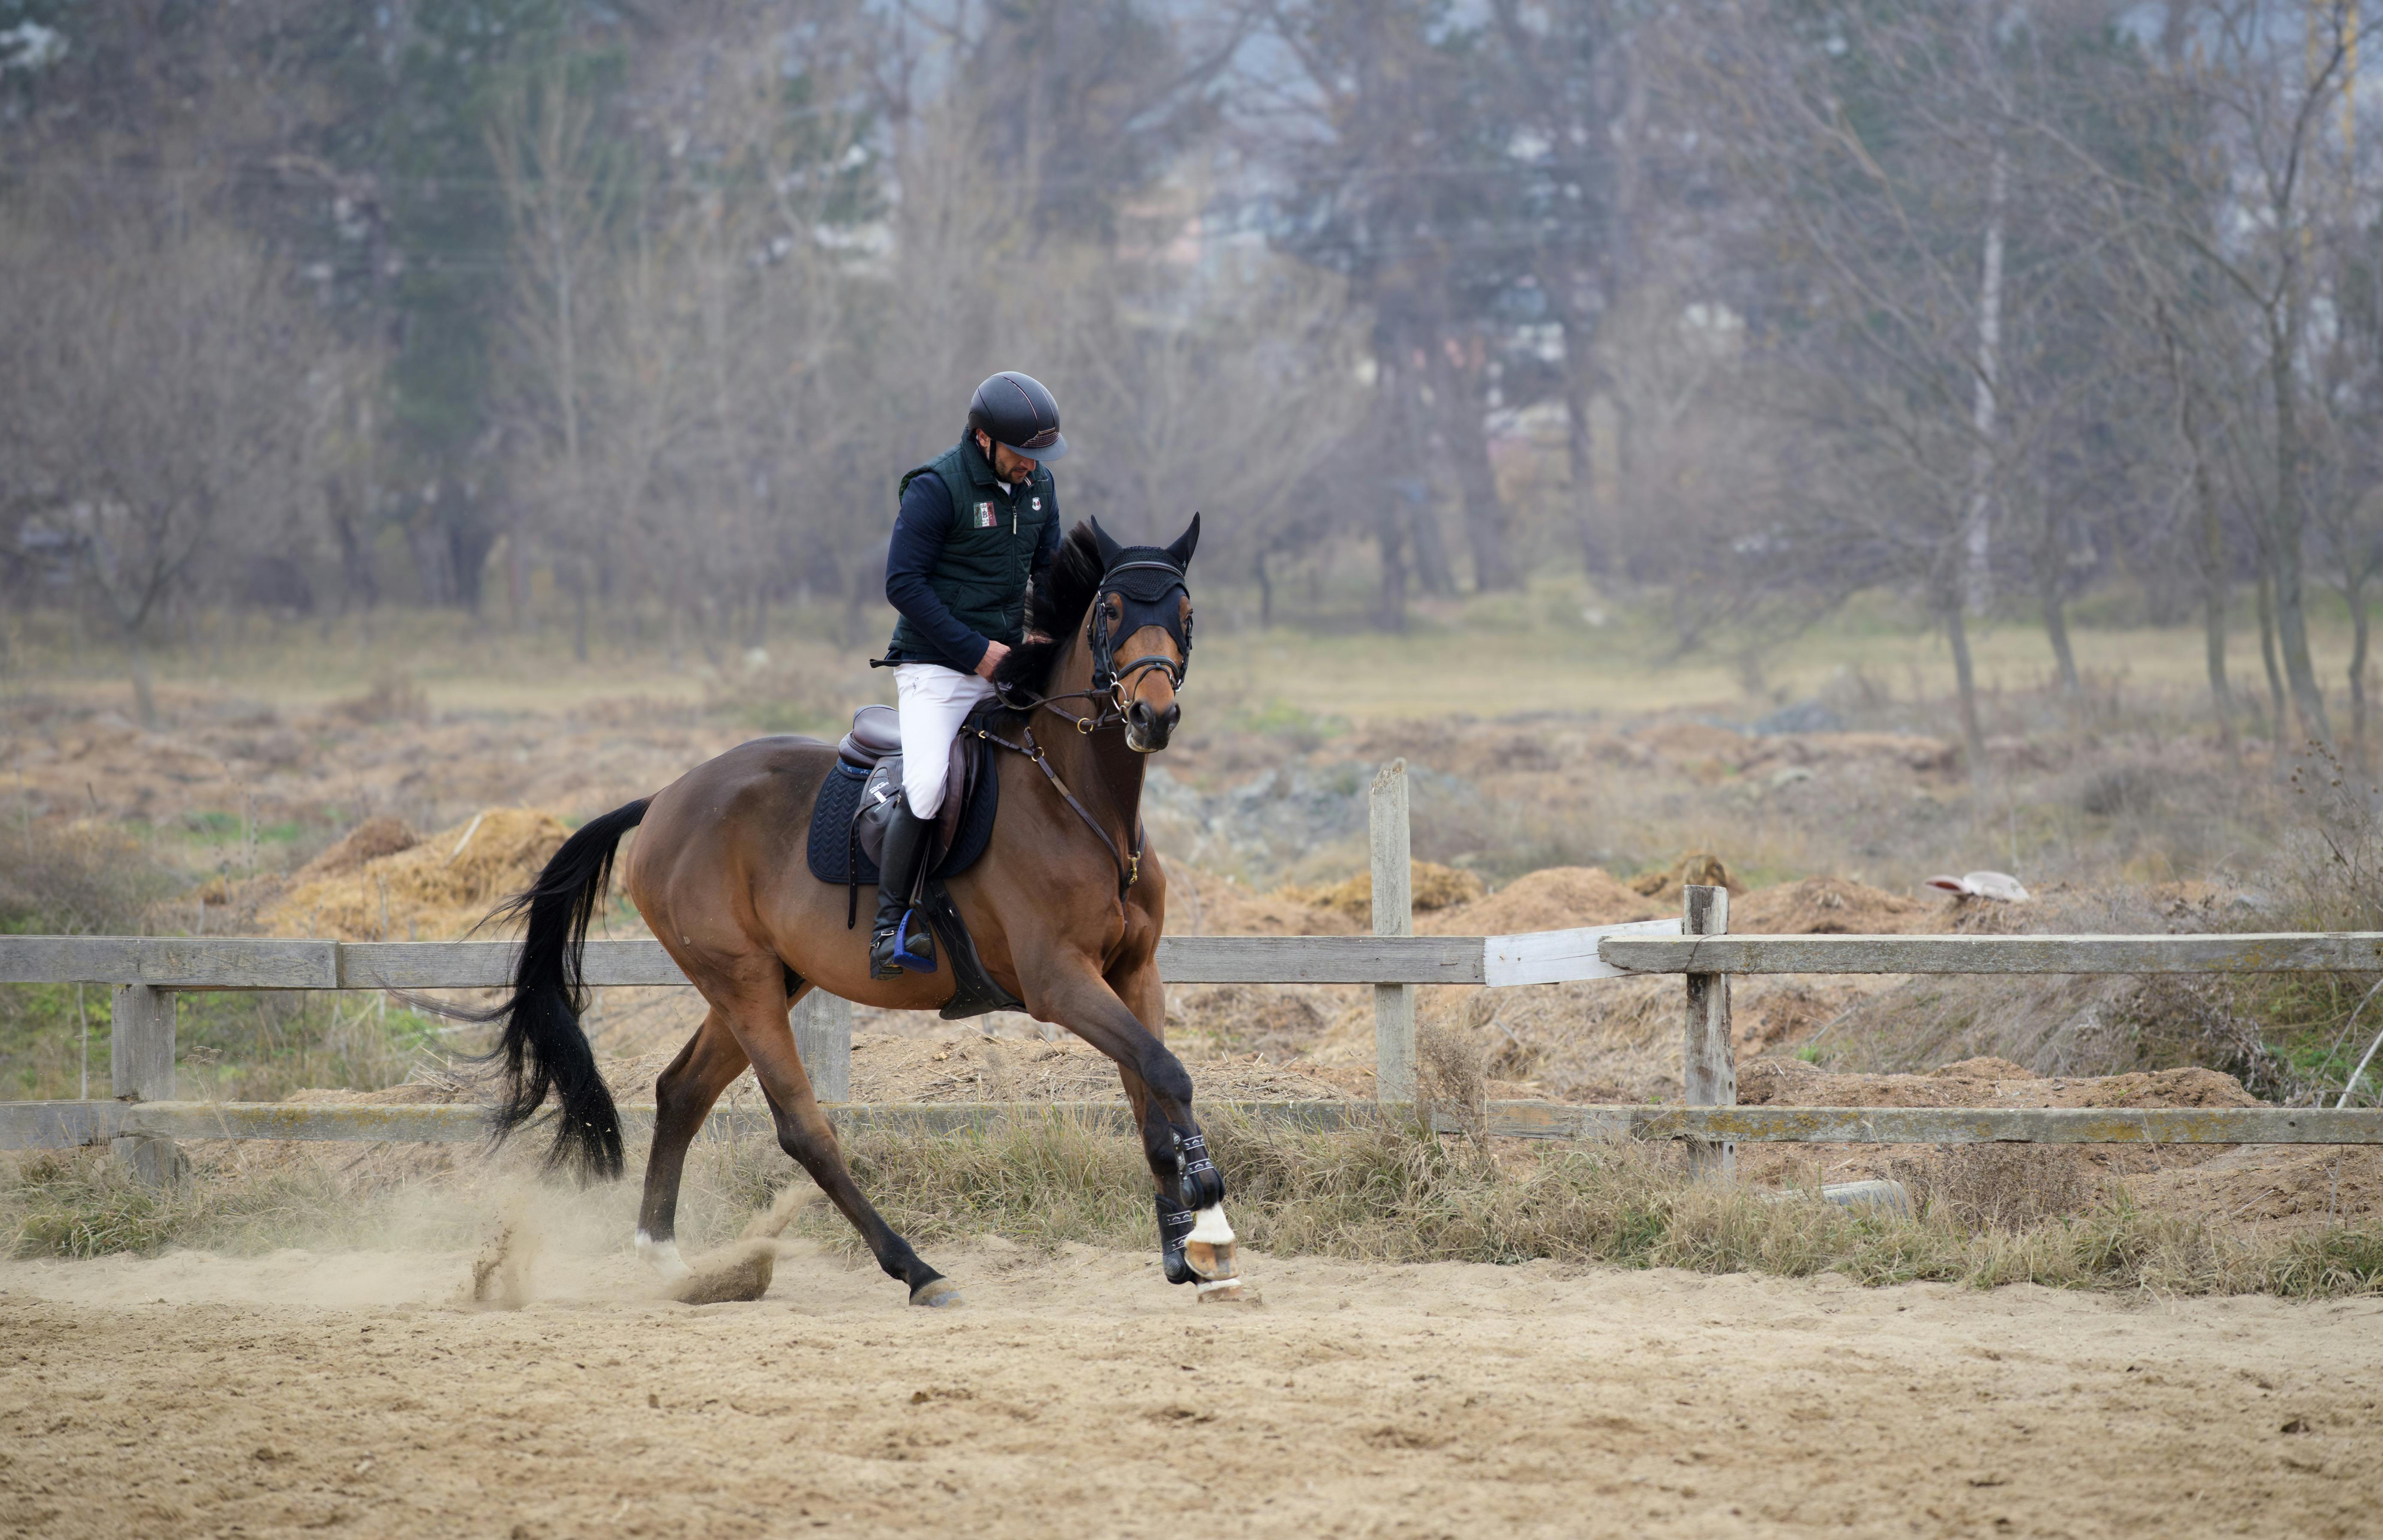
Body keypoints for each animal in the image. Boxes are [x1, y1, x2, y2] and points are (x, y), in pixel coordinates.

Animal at [485, 515, 1235, 1307]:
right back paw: (917, 1269)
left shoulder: (1132, 974)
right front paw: (1212, 1216)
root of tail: (664, 799)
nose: (1154, 715)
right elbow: (1169, 1073)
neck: (1082, 804)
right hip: (743, 982)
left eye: (1185, 613)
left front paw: (1181, 1247)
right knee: (803, 1130)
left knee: (682, 1091)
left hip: (770, 979)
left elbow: (1153, 1094)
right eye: (1112, 612)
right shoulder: (1059, 982)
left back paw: (669, 1263)